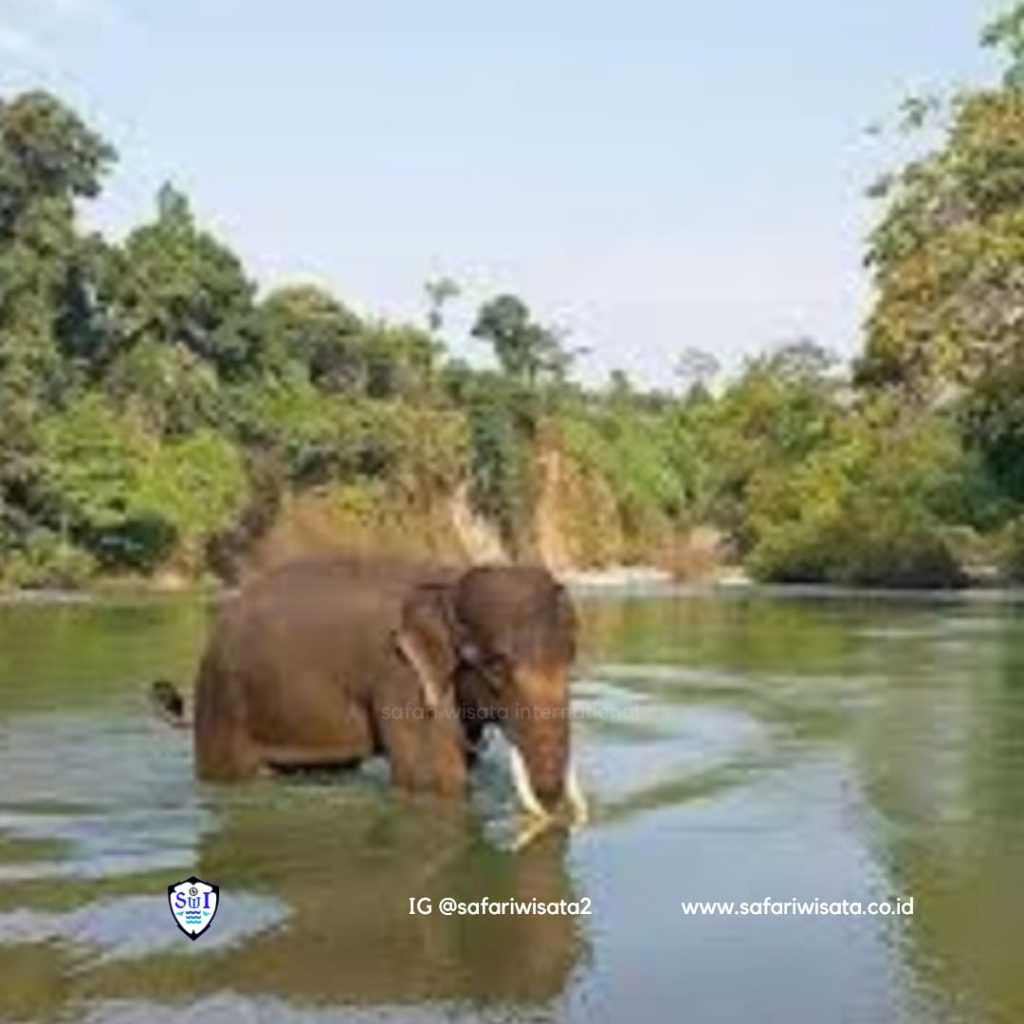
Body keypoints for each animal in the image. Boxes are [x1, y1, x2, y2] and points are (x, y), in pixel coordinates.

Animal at [155, 557, 587, 821]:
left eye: (571, 660)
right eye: (496, 667)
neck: (448, 580)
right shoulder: (398, 674)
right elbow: (433, 779)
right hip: (223, 700)